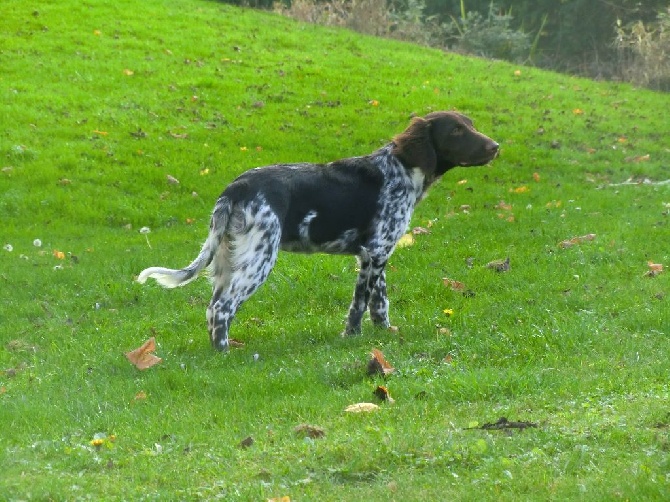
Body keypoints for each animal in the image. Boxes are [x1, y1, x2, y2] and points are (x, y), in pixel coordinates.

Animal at [138, 112, 498, 352]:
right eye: (456, 130)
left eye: (471, 125)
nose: (496, 146)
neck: (400, 170)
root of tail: (236, 188)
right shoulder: (374, 253)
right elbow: (359, 305)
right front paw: (351, 338)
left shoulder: (378, 254)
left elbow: (380, 303)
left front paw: (386, 333)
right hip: (258, 258)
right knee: (222, 308)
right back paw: (226, 353)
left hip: (228, 258)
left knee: (213, 308)